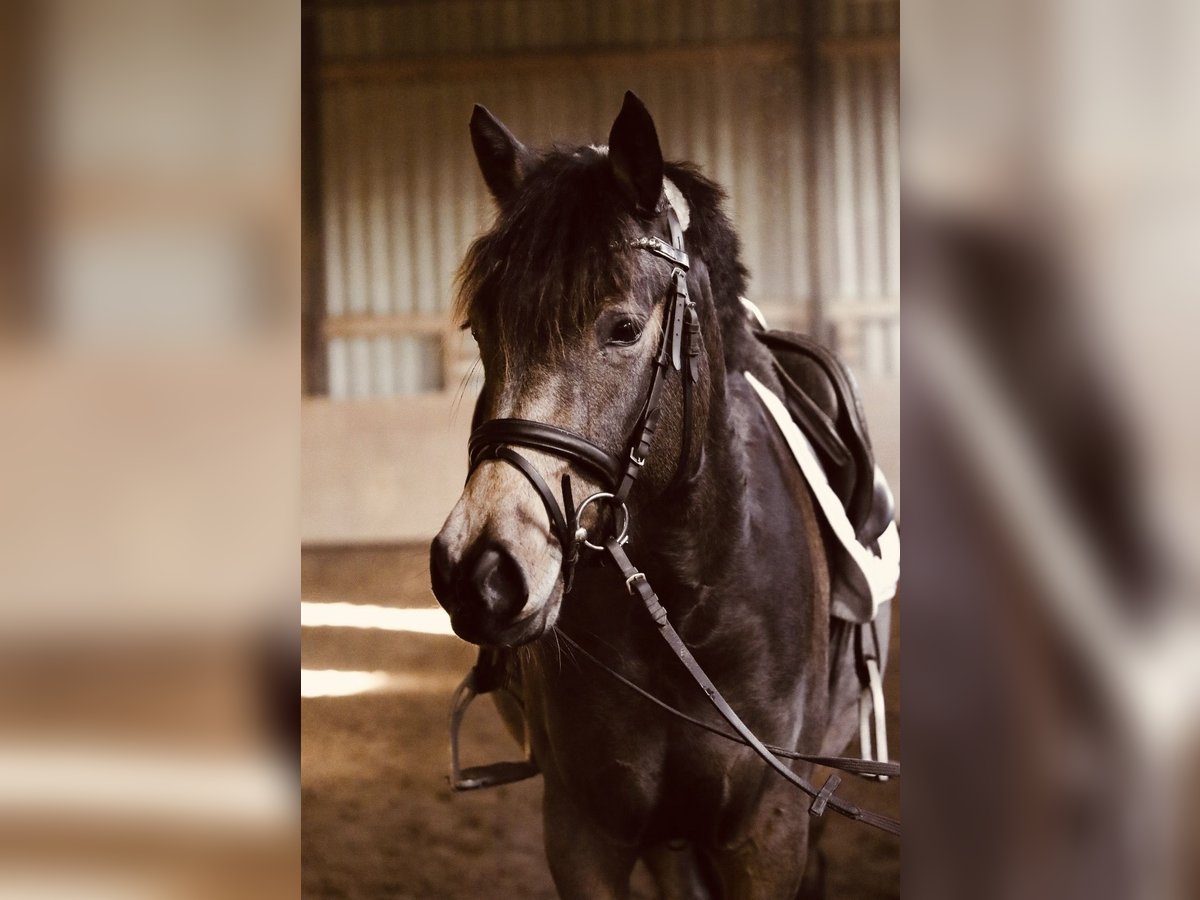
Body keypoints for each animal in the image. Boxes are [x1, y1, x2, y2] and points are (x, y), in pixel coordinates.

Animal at [427, 93, 888, 900]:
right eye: (481, 331)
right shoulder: (584, 831)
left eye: (623, 328)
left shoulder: (768, 832)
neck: (687, 603)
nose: (477, 573)